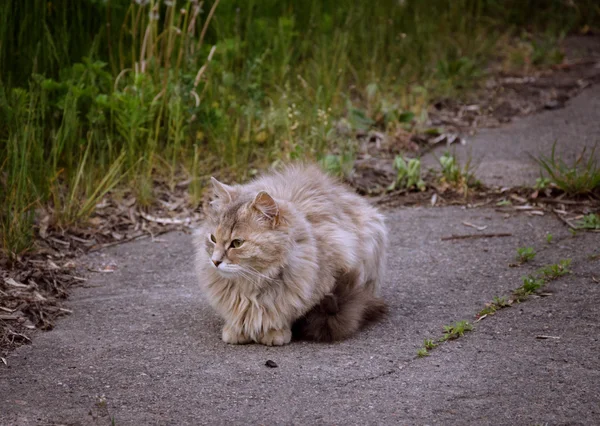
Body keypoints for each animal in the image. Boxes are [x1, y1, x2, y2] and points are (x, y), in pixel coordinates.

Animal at [195, 163, 386, 346]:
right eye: (213, 238)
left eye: (237, 243)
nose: (215, 261)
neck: (252, 284)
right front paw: (236, 329)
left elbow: (285, 313)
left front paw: (276, 332)